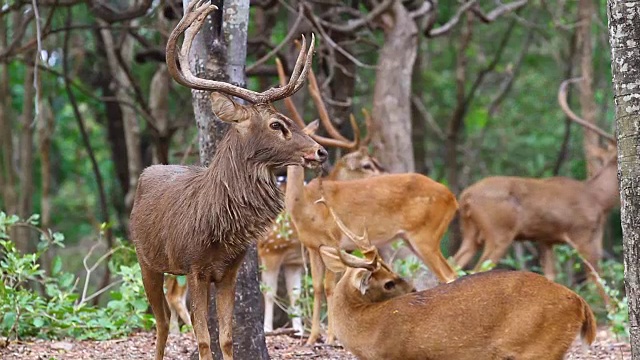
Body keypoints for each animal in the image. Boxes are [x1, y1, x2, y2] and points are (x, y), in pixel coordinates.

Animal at [130, 2, 328, 360]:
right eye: (277, 124)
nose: (320, 151)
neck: (218, 223)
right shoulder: (194, 266)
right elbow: (203, 339)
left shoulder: (229, 269)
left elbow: (226, 337)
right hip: (145, 257)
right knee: (162, 322)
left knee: (166, 317)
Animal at [280, 62, 460, 346]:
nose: (316, 153)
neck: (305, 208)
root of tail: (453, 198)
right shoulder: (312, 246)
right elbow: (318, 288)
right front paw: (311, 339)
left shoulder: (333, 241)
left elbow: (330, 287)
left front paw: (330, 338)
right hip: (414, 239)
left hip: (426, 235)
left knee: (449, 275)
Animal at [452, 77, 616, 282]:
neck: (598, 199)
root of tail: (465, 196)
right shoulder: (582, 234)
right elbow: (598, 280)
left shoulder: (545, 239)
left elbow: (551, 275)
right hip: (499, 233)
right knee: (476, 269)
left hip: (470, 234)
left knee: (452, 264)